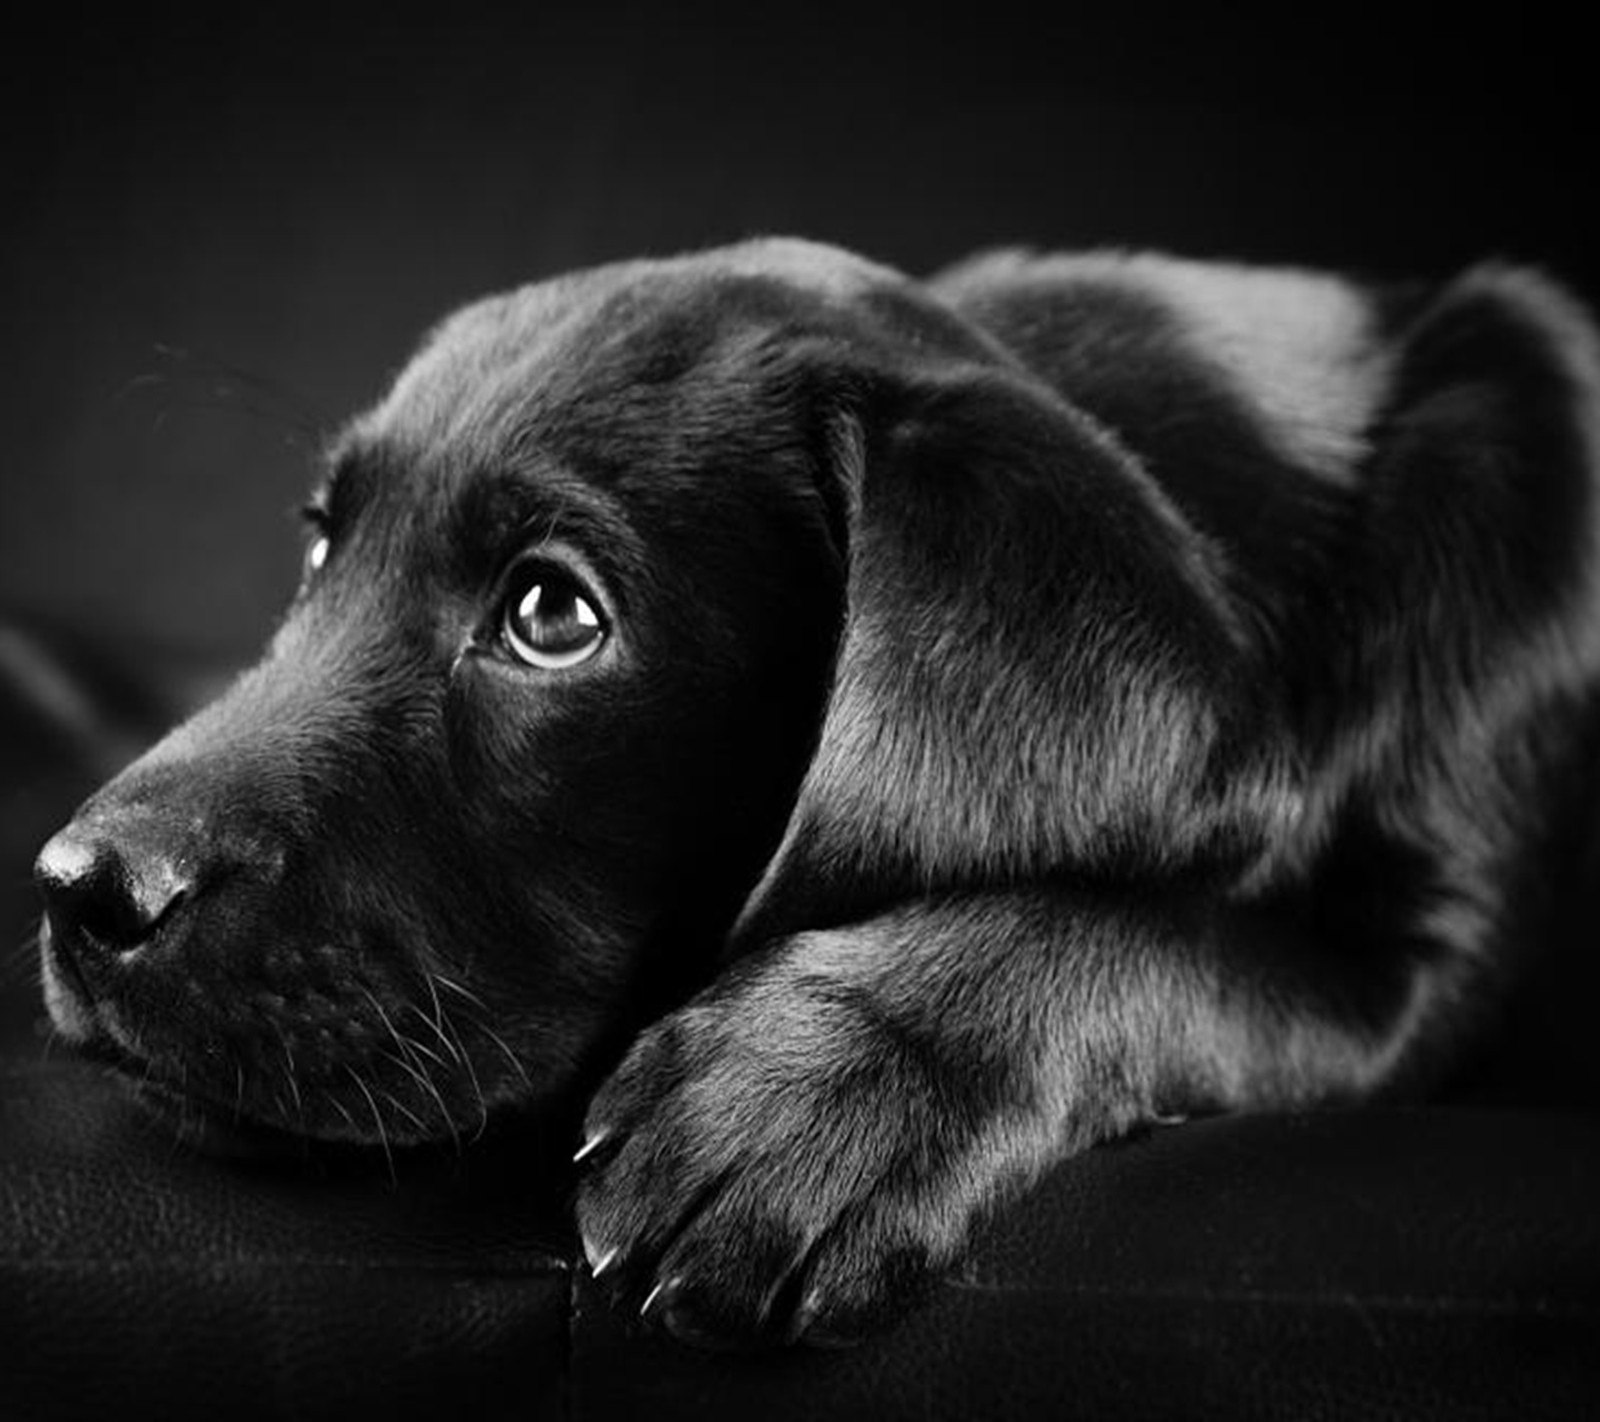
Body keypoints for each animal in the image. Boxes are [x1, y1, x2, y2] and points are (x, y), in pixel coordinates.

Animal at [31, 238, 1600, 1350]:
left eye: (553, 615)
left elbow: (1167, 940)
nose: (75, 887)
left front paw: (818, 1092)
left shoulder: (1409, 982)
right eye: (318, 554)